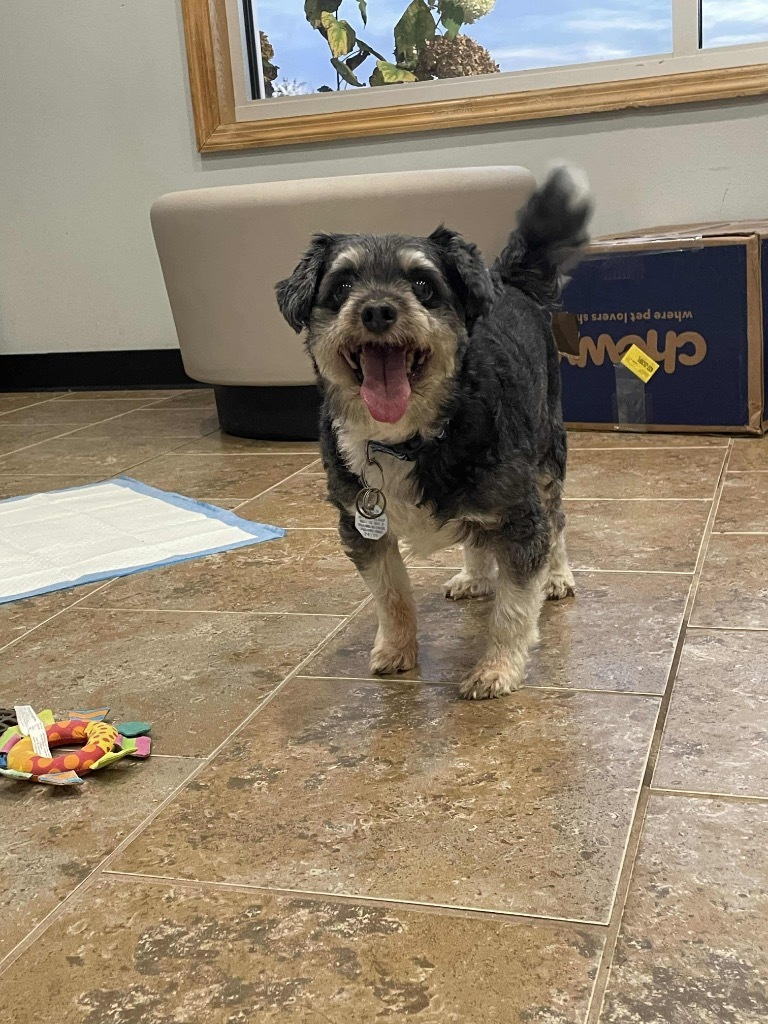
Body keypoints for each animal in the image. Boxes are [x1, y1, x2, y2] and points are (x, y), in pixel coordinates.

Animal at [276, 167, 593, 700]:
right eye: (341, 286)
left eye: (423, 284)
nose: (377, 310)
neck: (407, 439)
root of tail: (507, 280)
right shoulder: (361, 526)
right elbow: (392, 595)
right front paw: (397, 650)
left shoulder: (519, 512)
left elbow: (514, 607)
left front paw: (497, 669)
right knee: (478, 537)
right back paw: (474, 575)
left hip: (549, 453)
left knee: (557, 520)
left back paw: (558, 575)